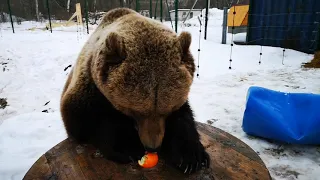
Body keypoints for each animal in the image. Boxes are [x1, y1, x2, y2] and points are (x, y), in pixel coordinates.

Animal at [59, 7, 210, 174]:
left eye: (167, 110)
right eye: (136, 111)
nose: (153, 146)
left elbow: (183, 118)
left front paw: (191, 158)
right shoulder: (88, 89)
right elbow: (87, 119)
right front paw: (128, 147)